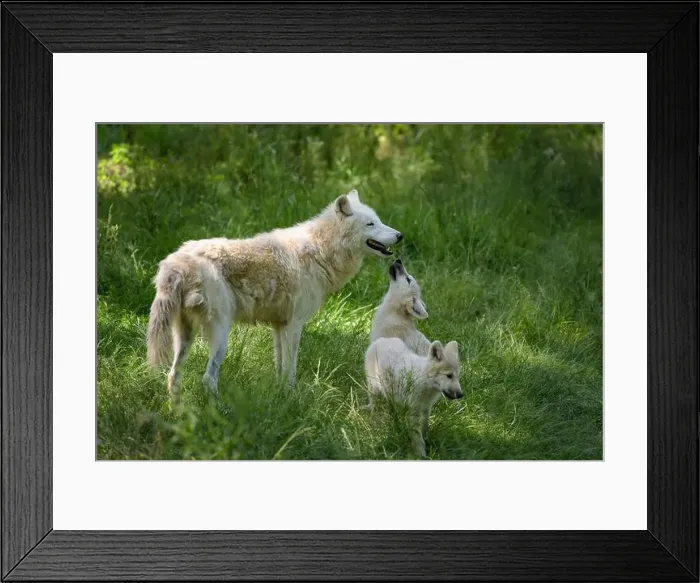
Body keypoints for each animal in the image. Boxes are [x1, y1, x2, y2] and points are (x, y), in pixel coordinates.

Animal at [147, 189, 402, 400]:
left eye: (379, 221)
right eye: (370, 224)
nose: (400, 235)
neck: (320, 250)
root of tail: (177, 263)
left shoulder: (279, 325)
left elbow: (279, 366)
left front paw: (278, 394)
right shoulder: (295, 325)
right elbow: (291, 368)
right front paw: (291, 396)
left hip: (184, 336)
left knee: (172, 376)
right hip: (221, 333)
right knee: (208, 378)